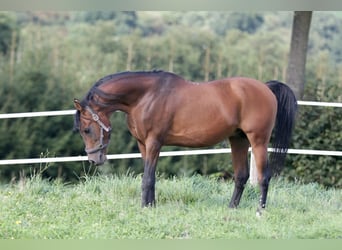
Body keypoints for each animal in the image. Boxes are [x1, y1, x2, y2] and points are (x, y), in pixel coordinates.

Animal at [74, 71, 296, 215]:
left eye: (86, 129)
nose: (94, 159)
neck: (146, 96)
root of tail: (265, 88)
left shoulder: (154, 142)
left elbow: (147, 178)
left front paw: (145, 208)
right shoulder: (143, 145)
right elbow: (151, 177)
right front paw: (151, 206)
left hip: (258, 141)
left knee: (264, 176)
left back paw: (260, 211)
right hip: (238, 139)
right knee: (241, 176)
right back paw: (231, 209)